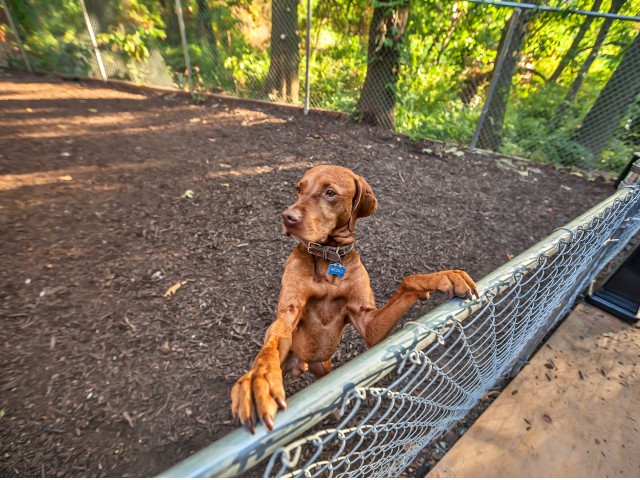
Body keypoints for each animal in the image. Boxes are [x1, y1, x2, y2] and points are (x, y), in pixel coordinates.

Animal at [230, 166, 476, 436]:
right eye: (299, 188)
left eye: (330, 193)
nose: (287, 217)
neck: (329, 258)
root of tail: (301, 363)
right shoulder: (287, 315)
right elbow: (271, 344)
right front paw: (258, 379)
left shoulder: (368, 323)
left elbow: (409, 280)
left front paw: (445, 276)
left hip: (324, 367)